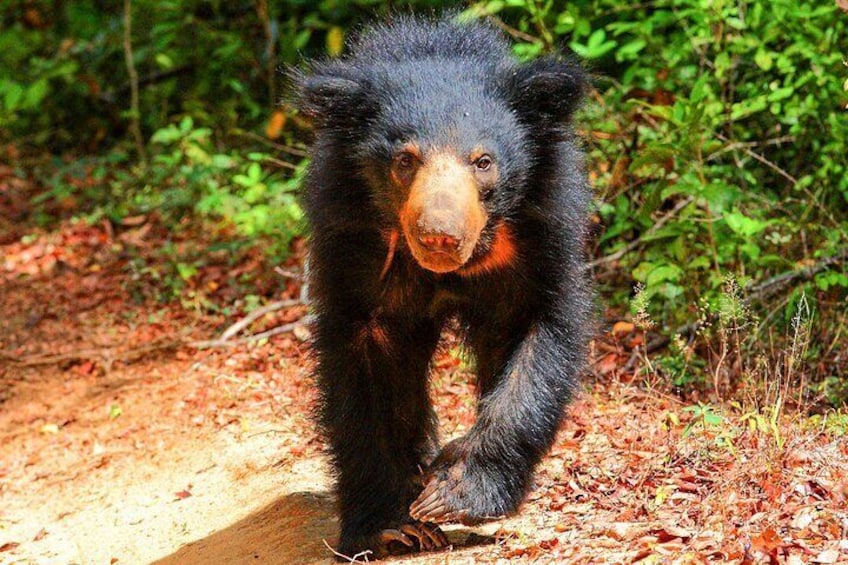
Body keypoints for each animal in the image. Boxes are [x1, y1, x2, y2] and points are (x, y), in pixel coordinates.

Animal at [298, 12, 596, 556]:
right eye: (405, 160)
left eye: (483, 161)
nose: (439, 236)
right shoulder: (353, 239)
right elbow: (365, 367)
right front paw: (392, 524)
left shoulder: (541, 230)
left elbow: (534, 348)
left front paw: (455, 492)